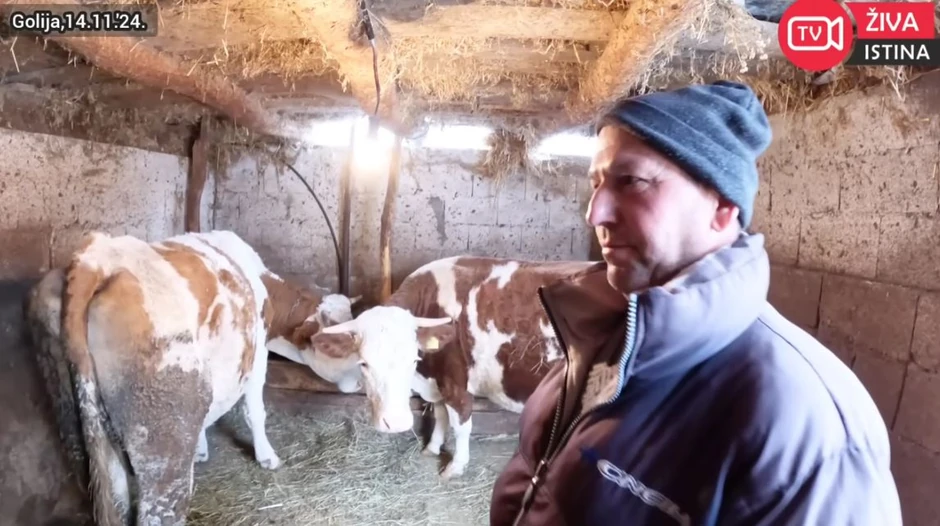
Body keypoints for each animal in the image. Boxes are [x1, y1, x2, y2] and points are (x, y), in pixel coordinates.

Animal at [23, 229, 356, 525]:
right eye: (337, 343)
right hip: (164, 441)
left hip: (79, 430)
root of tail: (98, 257)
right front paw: (267, 457)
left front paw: (201, 448)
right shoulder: (258, 354)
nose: (358, 383)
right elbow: (254, 411)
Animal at [309, 256, 595, 479]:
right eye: (364, 363)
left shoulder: (455, 381)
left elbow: (460, 425)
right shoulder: (437, 382)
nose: (397, 423)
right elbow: (439, 415)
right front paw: (432, 448)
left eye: (413, 359)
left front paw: (455, 467)